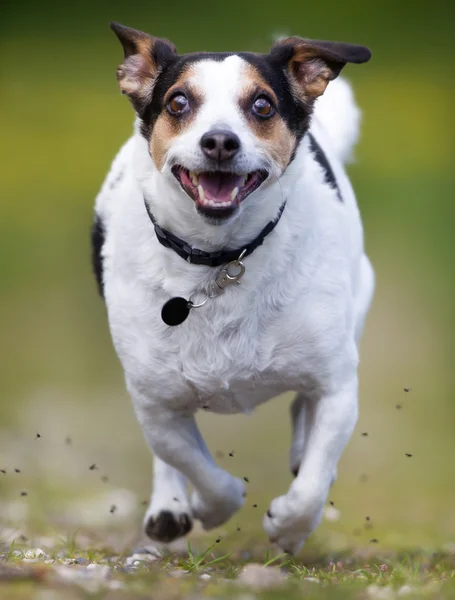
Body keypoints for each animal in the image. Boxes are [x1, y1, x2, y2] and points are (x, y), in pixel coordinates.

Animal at [91, 23, 374, 556]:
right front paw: (208, 507)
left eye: (262, 105)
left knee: (305, 423)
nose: (219, 141)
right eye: (179, 102)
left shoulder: (337, 387)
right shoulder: (156, 404)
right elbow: (197, 467)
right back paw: (169, 509)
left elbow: (312, 482)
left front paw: (289, 524)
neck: (220, 260)